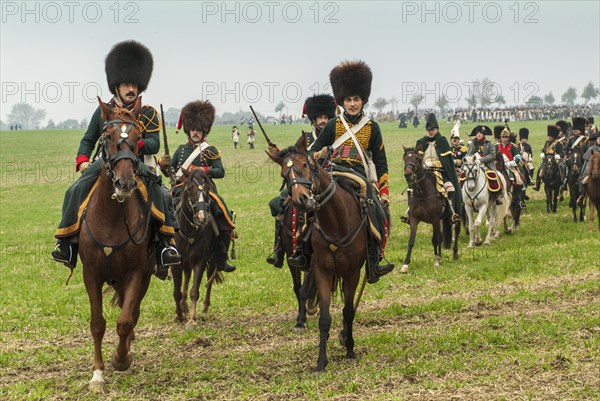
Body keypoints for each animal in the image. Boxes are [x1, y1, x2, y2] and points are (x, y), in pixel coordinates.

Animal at [79, 97, 155, 390]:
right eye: (108, 136)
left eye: (137, 138)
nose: (125, 182)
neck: (111, 216)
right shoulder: (90, 273)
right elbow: (97, 323)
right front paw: (97, 374)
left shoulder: (135, 273)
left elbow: (124, 320)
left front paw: (121, 359)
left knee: (132, 312)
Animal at [171, 166, 223, 324]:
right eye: (190, 188)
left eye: (208, 188)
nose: (202, 217)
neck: (189, 232)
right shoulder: (176, 263)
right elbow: (177, 291)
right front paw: (180, 315)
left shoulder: (200, 261)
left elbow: (195, 291)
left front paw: (192, 319)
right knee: (187, 277)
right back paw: (184, 306)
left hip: (211, 260)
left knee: (209, 281)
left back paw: (204, 310)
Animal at [268, 133, 366, 370]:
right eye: (284, 174)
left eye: (306, 164)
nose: (302, 200)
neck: (336, 221)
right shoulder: (314, 266)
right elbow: (313, 303)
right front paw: (320, 359)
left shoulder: (352, 271)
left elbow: (348, 310)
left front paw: (348, 346)